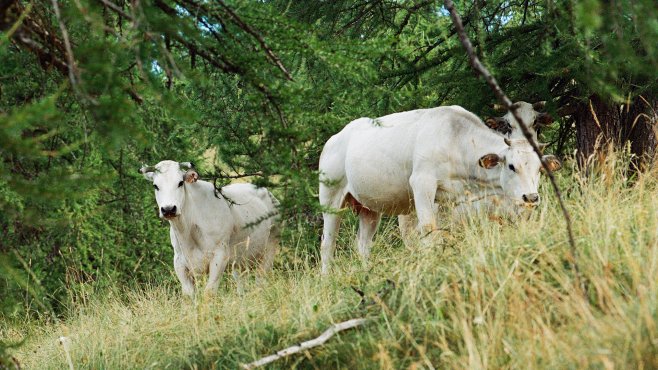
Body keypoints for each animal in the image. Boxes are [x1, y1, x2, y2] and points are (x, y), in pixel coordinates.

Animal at [140, 160, 278, 296]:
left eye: (180, 183)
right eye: (155, 186)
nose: (168, 209)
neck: (188, 230)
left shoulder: (219, 256)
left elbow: (209, 292)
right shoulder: (179, 262)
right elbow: (188, 294)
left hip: (269, 249)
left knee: (260, 280)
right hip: (240, 260)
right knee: (241, 285)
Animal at [318, 105, 560, 274]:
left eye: (539, 168)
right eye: (511, 166)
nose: (531, 197)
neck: (455, 140)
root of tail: (334, 138)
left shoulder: (449, 200)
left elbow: (442, 233)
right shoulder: (422, 183)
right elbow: (428, 229)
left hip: (370, 209)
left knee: (363, 244)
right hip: (331, 201)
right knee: (327, 245)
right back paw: (326, 279)